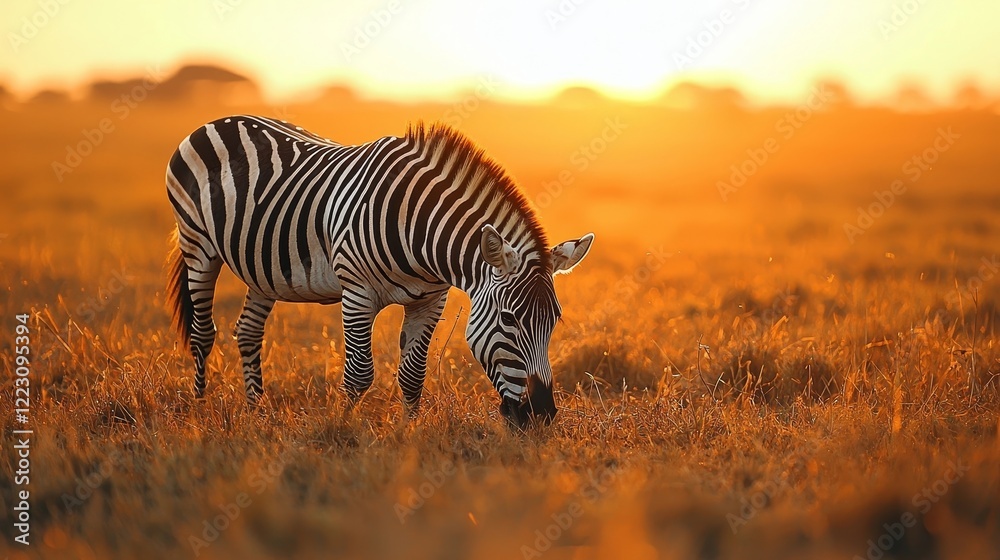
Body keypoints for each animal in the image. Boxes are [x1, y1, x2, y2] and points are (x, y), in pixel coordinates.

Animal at [165, 115, 593, 428]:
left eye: (554, 320)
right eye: (508, 319)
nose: (542, 415)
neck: (420, 234)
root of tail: (218, 120)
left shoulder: (431, 299)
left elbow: (413, 373)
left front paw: (410, 432)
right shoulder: (357, 291)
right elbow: (358, 372)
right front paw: (340, 430)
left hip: (263, 266)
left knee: (248, 331)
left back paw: (256, 410)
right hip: (197, 243)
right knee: (203, 332)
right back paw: (200, 407)